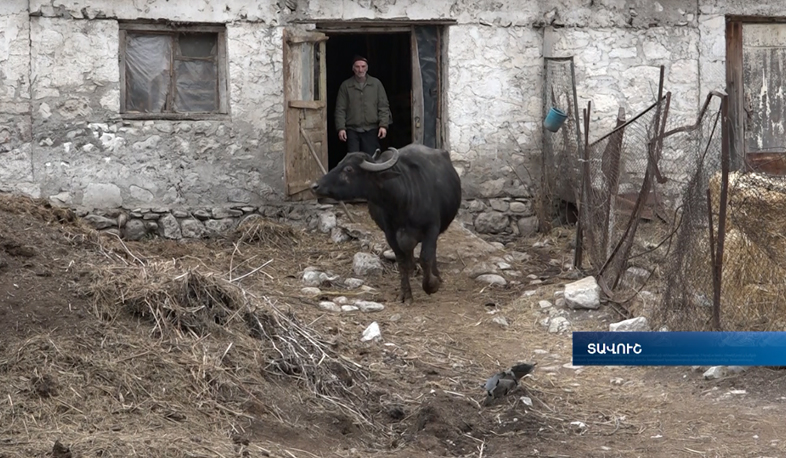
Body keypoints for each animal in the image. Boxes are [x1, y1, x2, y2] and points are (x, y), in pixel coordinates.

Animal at [310, 143, 462, 304]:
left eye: (349, 169)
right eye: (339, 163)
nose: (315, 186)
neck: (402, 203)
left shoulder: (431, 228)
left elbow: (426, 257)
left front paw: (432, 285)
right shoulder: (390, 233)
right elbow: (401, 261)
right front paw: (406, 294)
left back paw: (435, 274)